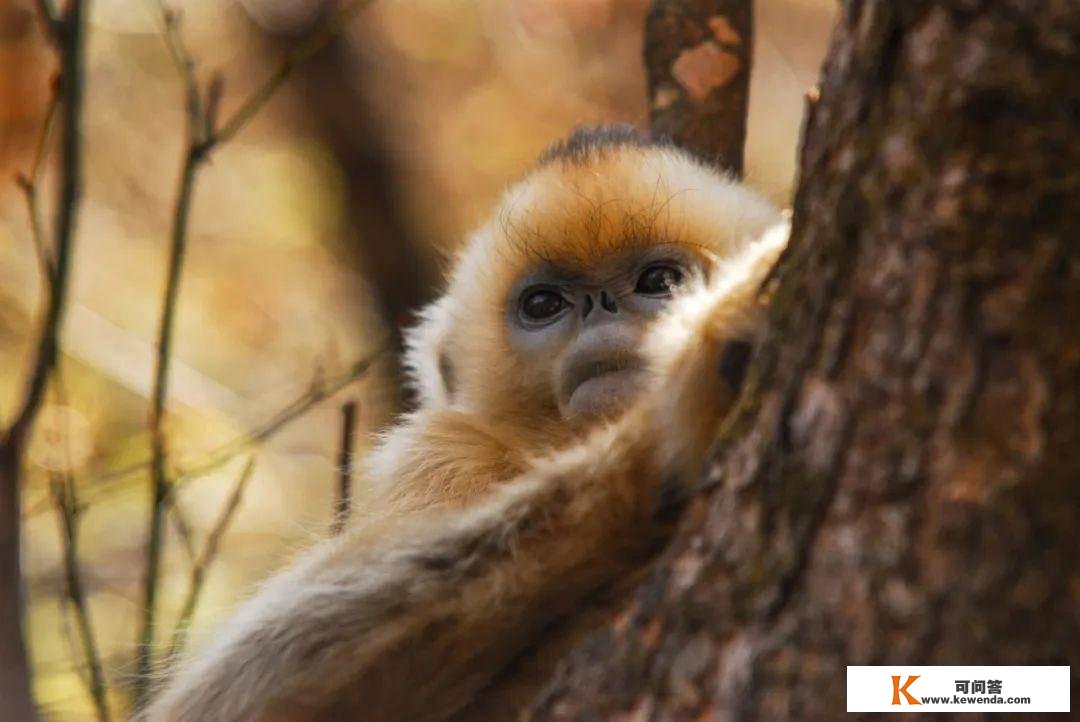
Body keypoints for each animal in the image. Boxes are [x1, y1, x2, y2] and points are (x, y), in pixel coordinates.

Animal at [141, 125, 786, 720]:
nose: (601, 311)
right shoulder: (436, 452)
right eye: (544, 305)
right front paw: (682, 401)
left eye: (658, 282)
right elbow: (233, 692)